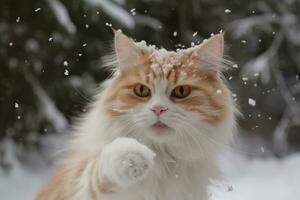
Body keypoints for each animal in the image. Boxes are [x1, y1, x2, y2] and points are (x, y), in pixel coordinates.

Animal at [35, 30, 237, 200]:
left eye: (181, 91)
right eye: (141, 90)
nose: (158, 109)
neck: (163, 160)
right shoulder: (78, 181)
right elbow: (99, 169)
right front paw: (133, 157)